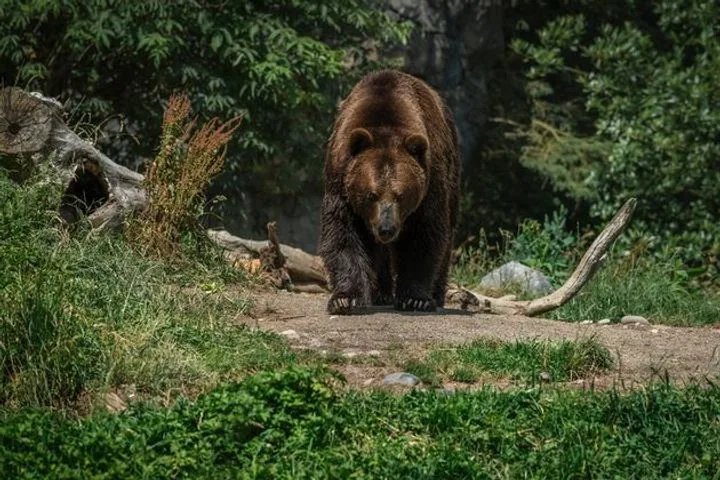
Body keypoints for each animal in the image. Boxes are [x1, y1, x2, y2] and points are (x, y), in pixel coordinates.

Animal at [318, 69, 460, 314]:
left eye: (401, 195)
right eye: (371, 194)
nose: (387, 228)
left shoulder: (431, 181)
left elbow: (424, 234)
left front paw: (415, 299)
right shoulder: (340, 178)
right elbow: (342, 232)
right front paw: (345, 298)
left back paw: (435, 295)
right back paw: (380, 293)